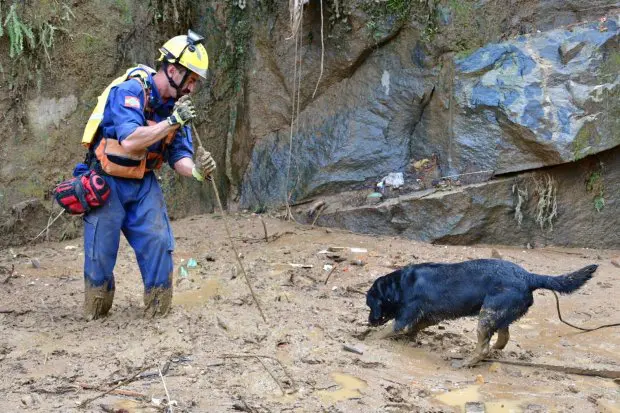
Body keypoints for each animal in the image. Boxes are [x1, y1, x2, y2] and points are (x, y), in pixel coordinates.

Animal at [366, 260, 600, 366]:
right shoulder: (428, 316)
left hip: (486, 315)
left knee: (483, 348)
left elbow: (386, 332)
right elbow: (413, 328)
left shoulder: (404, 318)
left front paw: (366, 338)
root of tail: (529, 276)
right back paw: (495, 349)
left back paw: (466, 362)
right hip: (497, 313)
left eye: (370, 305)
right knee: (503, 337)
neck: (399, 285)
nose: (369, 321)